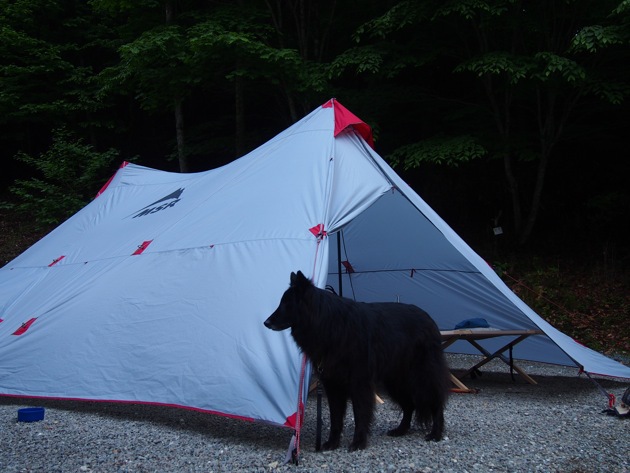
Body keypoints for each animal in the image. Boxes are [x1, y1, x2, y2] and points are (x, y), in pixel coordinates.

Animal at [264, 270, 452, 450]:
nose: (266, 322)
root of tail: (428, 318)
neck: (329, 325)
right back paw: (401, 430)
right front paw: (332, 443)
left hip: (422, 377)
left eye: (287, 303)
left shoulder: (359, 384)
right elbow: (335, 418)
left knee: (436, 403)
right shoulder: (333, 385)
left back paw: (435, 433)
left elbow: (360, 414)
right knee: (409, 405)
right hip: (396, 381)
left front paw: (358, 443)